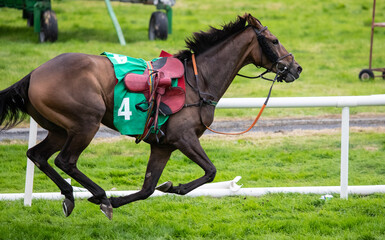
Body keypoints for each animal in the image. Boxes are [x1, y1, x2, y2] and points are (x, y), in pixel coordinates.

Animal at [0, 13, 300, 219]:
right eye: (274, 40)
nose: (296, 67)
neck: (197, 80)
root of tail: (34, 74)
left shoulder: (162, 145)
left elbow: (148, 188)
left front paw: (151, 191)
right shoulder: (184, 138)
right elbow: (211, 171)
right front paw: (171, 188)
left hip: (60, 129)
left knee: (37, 155)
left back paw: (71, 196)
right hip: (85, 123)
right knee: (65, 160)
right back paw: (97, 194)